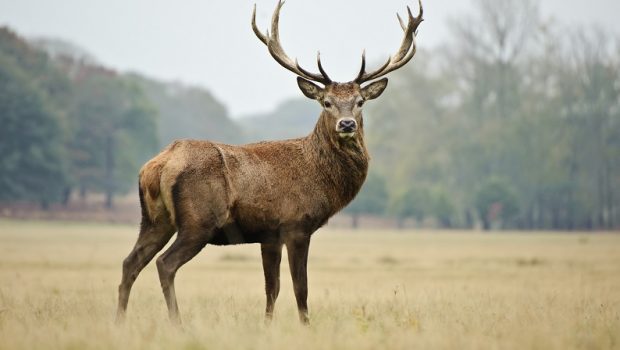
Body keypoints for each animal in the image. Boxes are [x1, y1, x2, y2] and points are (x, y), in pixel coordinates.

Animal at [115, 0, 424, 324]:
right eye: (326, 102)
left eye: (360, 102)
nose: (347, 124)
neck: (320, 178)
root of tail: (158, 165)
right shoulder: (296, 224)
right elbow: (301, 288)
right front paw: (305, 325)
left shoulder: (269, 235)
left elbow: (271, 288)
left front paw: (267, 325)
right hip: (198, 220)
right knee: (165, 264)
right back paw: (177, 323)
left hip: (154, 219)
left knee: (130, 262)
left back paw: (120, 321)